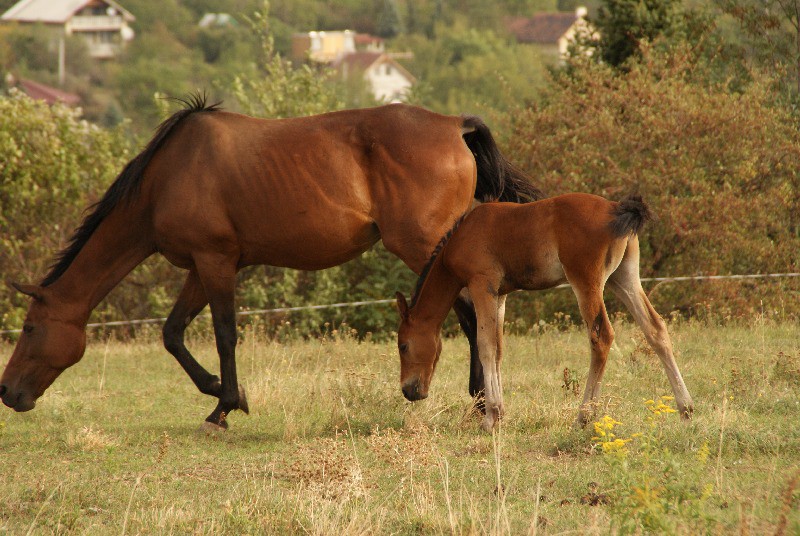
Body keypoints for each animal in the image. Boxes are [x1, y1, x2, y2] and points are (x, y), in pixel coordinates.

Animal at [1, 95, 544, 432]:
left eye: (29, 328)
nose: (7, 392)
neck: (168, 176)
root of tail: (455, 126)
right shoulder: (200, 267)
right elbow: (173, 333)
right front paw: (220, 392)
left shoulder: (215, 261)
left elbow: (223, 333)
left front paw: (224, 405)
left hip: (427, 248)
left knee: (470, 317)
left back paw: (480, 401)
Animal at [396, 193, 692, 432]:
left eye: (403, 346)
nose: (409, 391)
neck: (464, 234)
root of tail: (615, 207)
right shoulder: (500, 295)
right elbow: (499, 349)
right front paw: (500, 413)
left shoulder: (482, 285)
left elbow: (486, 346)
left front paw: (490, 418)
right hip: (625, 278)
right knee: (655, 328)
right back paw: (686, 408)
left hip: (586, 282)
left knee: (602, 337)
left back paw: (583, 417)